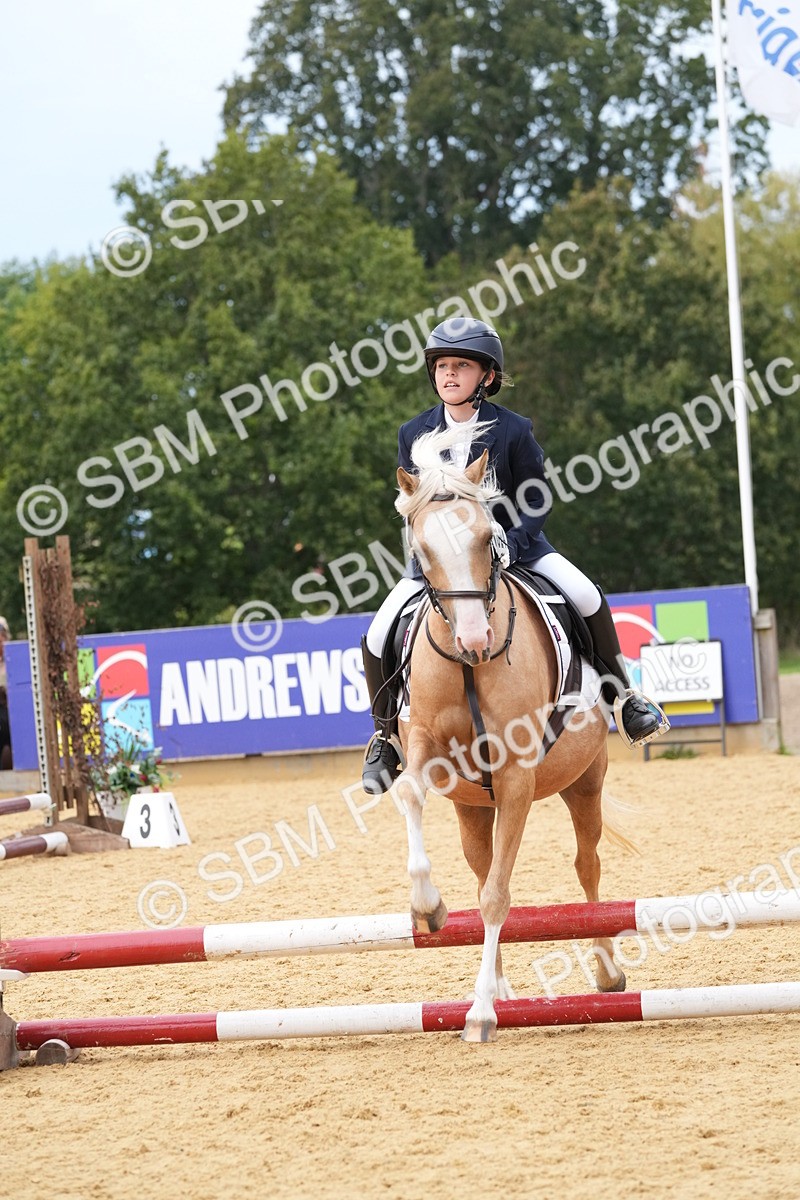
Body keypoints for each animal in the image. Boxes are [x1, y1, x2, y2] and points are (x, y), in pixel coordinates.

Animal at [392, 423, 629, 1042]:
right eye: (423, 550)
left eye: (484, 538)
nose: (475, 640)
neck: (468, 669)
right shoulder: (426, 748)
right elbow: (409, 794)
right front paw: (427, 907)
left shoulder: (518, 779)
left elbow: (499, 897)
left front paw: (478, 1013)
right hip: (474, 807)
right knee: (481, 873)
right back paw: (502, 986)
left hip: (585, 782)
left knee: (587, 866)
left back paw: (607, 971)